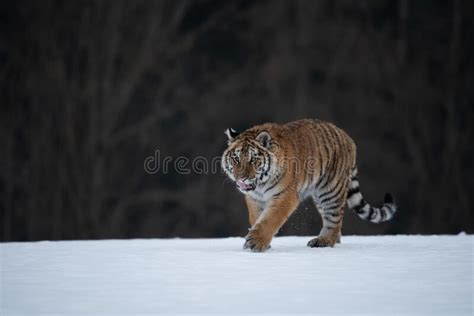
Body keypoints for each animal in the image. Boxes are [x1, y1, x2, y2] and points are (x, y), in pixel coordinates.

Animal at [222, 118, 396, 252]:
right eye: (236, 159)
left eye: (253, 160)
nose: (241, 178)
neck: (260, 185)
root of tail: (347, 137)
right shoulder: (254, 199)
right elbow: (257, 218)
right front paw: (261, 241)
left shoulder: (285, 196)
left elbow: (270, 219)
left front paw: (255, 243)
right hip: (320, 196)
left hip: (331, 191)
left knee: (334, 219)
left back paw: (323, 241)